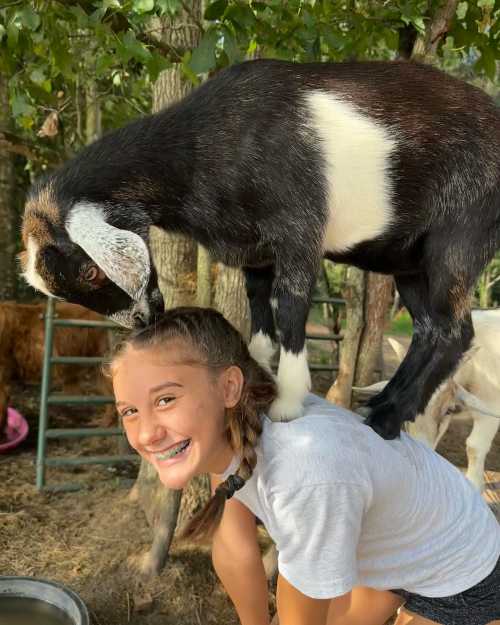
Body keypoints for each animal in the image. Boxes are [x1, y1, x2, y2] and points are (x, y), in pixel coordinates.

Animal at [18, 61, 500, 436]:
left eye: (92, 271)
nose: (142, 320)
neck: (198, 151)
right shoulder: (253, 249)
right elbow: (258, 305)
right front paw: (261, 365)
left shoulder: (298, 230)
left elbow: (290, 306)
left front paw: (287, 401)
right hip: (409, 259)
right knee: (429, 328)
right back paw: (383, 404)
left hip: (460, 233)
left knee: (455, 330)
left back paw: (388, 419)